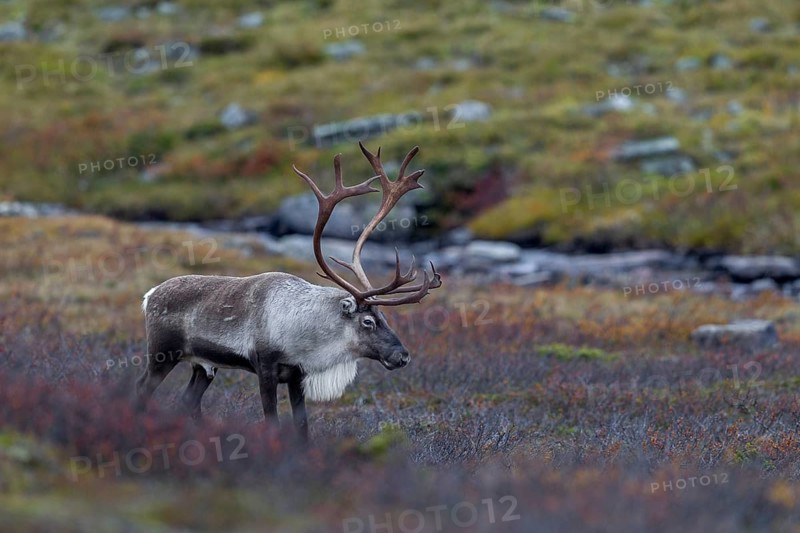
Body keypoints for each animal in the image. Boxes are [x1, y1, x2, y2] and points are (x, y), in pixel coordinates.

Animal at [135, 142, 441, 440]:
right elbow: (272, 422)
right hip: (162, 353)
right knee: (142, 388)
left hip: (204, 366)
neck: (306, 331)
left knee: (188, 401)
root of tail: (149, 295)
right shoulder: (266, 368)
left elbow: (302, 426)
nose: (403, 356)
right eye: (368, 322)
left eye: (385, 318)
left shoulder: (296, 376)